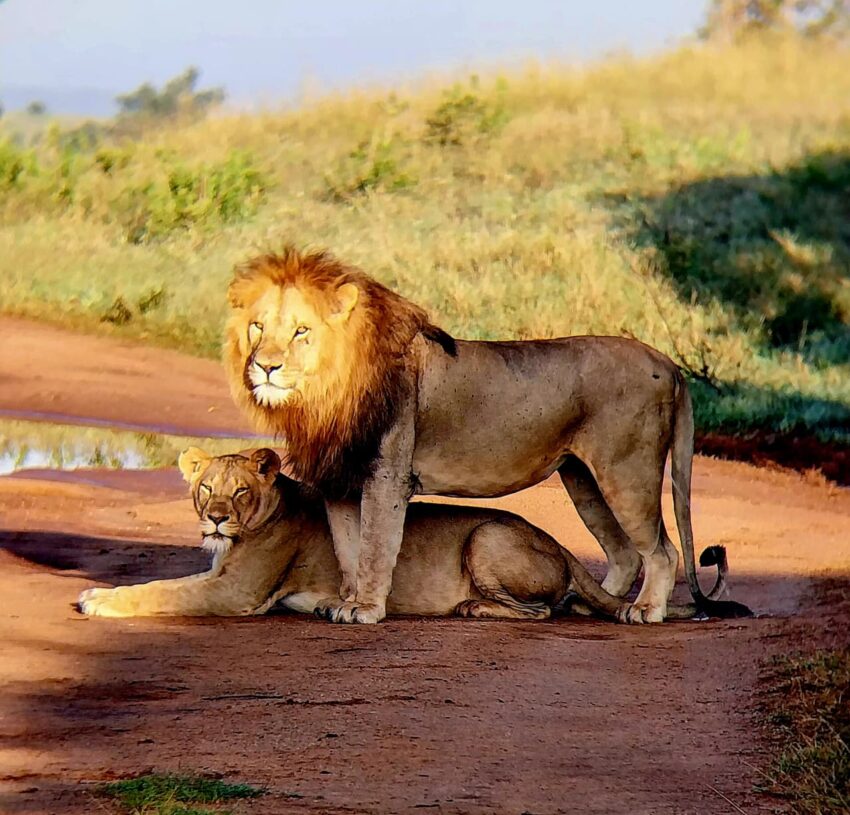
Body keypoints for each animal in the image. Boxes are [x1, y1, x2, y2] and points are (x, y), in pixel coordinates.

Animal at [78, 448, 728, 620]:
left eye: (239, 492)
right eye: (205, 487)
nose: (214, 518)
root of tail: (565, 549)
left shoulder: (235, 594)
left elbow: (160, 592)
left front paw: (99, 601)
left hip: (486, 535)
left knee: (545, 609)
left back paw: (470, 609)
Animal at [224, 248, 752, 625]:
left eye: (301, 331)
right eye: (257, 327)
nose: (265, 366)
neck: (323, 394)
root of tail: (669, 363)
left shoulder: (387, 476)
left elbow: (375, 547)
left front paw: (367, 610)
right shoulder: (340, 483)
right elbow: (349, 550)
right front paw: (347, 601)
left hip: (628, 471)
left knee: (661, 550)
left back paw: (644, 611)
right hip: (582, 478)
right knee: (622, 552)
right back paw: (591, 604)